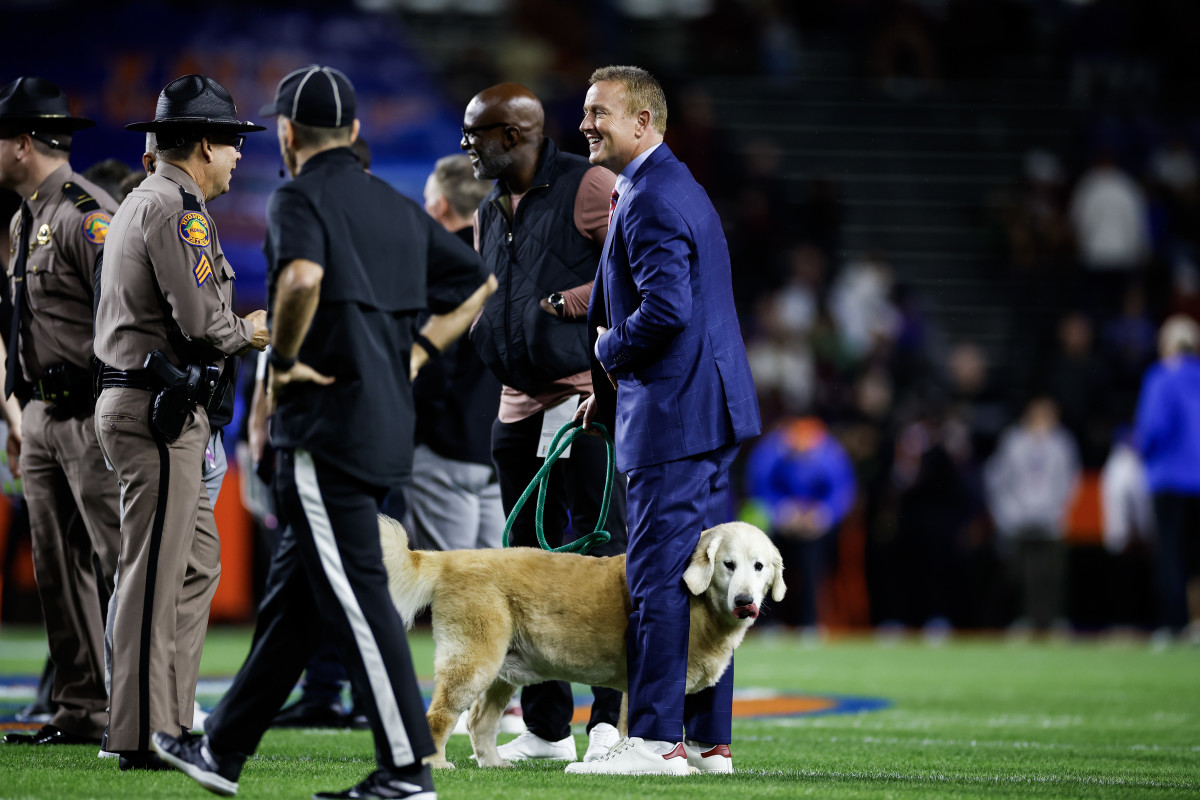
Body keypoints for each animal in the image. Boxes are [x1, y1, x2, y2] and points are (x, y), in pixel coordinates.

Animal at [376, 513, 787, 767]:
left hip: (498, 671)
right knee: (439, 715)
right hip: (473, 662)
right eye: (728, 565)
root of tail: (449, 559)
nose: (745, 601)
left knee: (479, 722)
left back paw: (494, 763)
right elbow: (636, 729)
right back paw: (436, 762)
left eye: (758, 567)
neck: (696, 602)